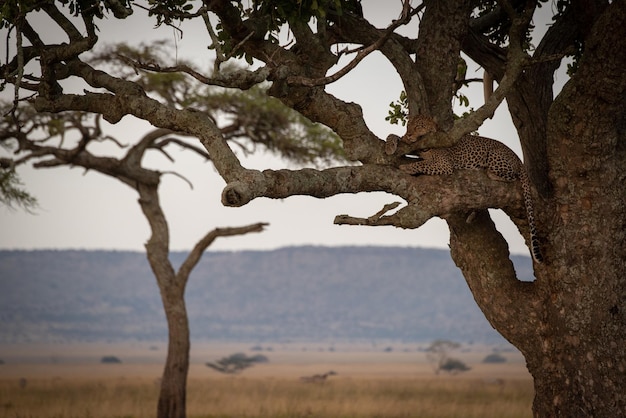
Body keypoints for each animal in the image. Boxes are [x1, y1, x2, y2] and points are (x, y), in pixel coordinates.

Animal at [400, 136, 540, 262]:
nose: (404, 139)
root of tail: (517, 158)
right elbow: (423, 161)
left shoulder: (444, 165)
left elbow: (422, 164)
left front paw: (406, 167)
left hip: (495, 155)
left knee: (511, 177)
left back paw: (489, 172)